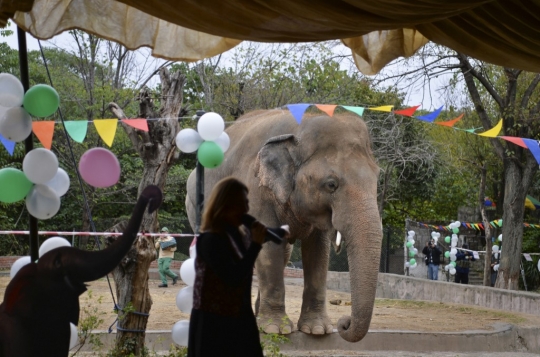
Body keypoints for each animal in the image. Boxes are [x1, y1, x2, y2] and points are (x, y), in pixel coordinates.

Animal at [188, 109, 382, 342]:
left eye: (377, 179)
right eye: (331, 184)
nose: (344, 323)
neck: (301, 125)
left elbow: (318, 252)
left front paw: (317, 330)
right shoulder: (256, 190)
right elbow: (269, 247)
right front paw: (275, 330)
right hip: (195, 206)